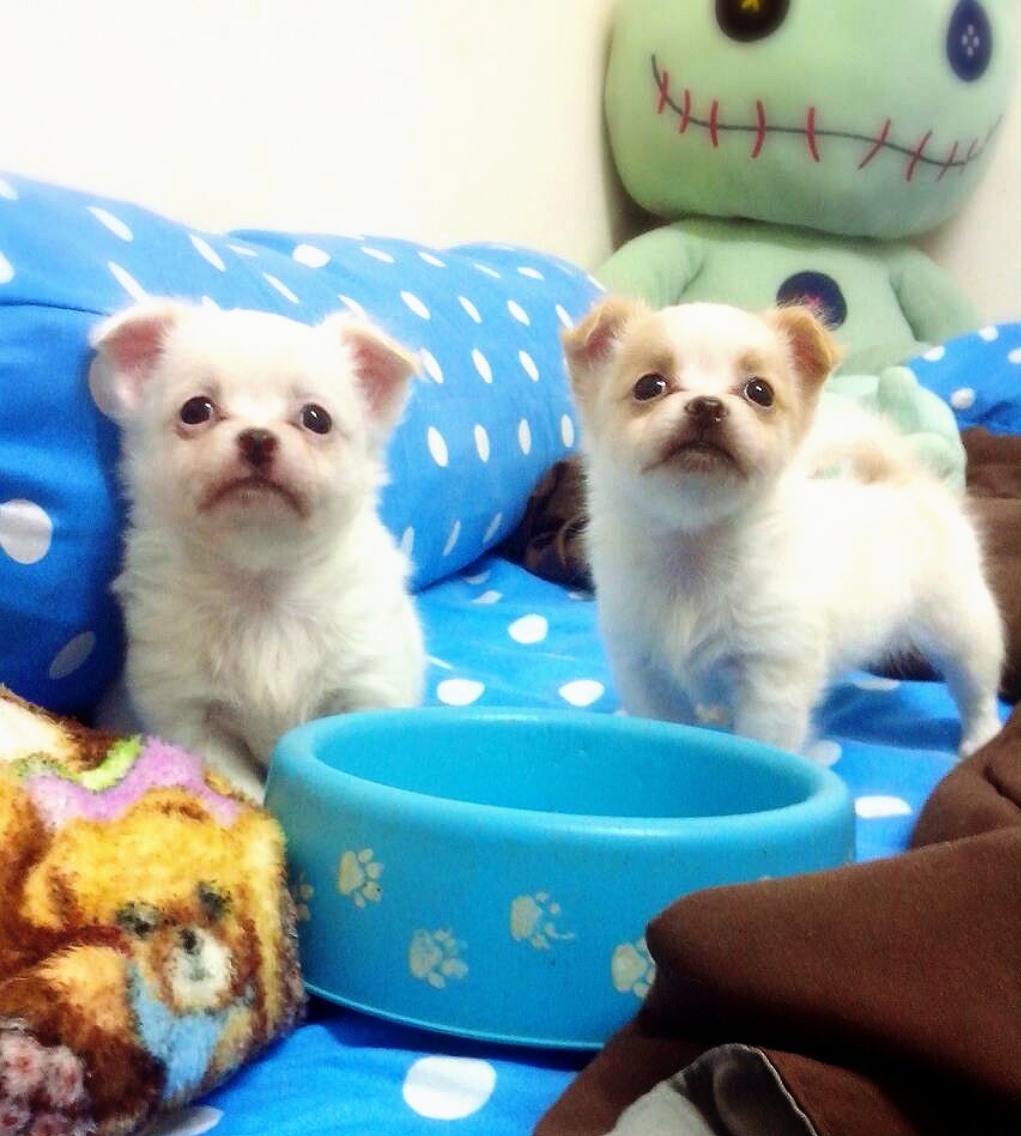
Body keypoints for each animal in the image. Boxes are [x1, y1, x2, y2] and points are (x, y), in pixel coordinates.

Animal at [92, 300, 425, 798]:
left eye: (316, 419)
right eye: (196, 410)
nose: (257, 436)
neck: (262, 584)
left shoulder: (365, 687)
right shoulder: (193, 718)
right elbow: (241, 787)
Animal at [563, 297, 1003, 758]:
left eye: (760, 392)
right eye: (649, 386)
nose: (708, 405)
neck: (694, 545)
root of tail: (904, 480)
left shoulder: (772, 679)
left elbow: (764, 741)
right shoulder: (646, 671)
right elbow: (666, 724)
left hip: (961, 625)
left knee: (975, 686)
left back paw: (980, 736)